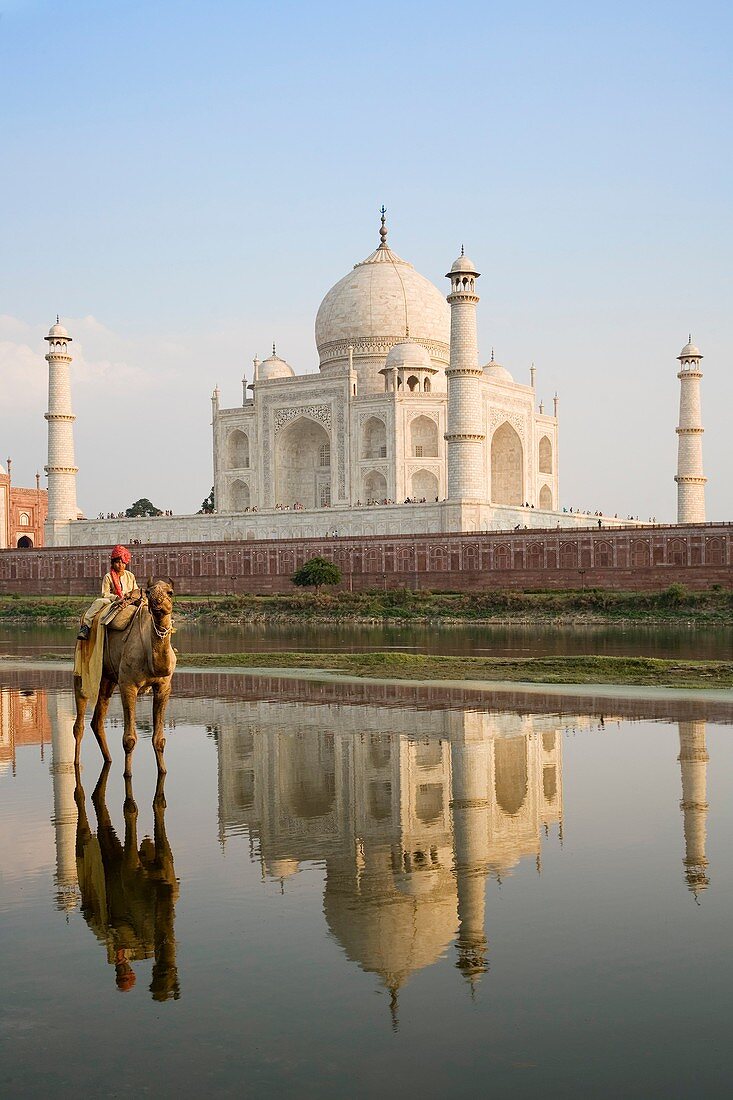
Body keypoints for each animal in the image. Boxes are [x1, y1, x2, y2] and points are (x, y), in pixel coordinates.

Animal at [73, 580, 177, 778]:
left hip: (107, 677)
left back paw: (108, 759)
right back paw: (75, 763)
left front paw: (163, 770)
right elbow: (129, 739)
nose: (156, 603)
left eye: (170, 592)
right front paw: (127, 774)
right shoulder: (127, 684)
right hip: (81, 661)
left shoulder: (164, 686)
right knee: (79, 721)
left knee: (97, 720)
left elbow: (159, 739)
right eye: (149, 592)